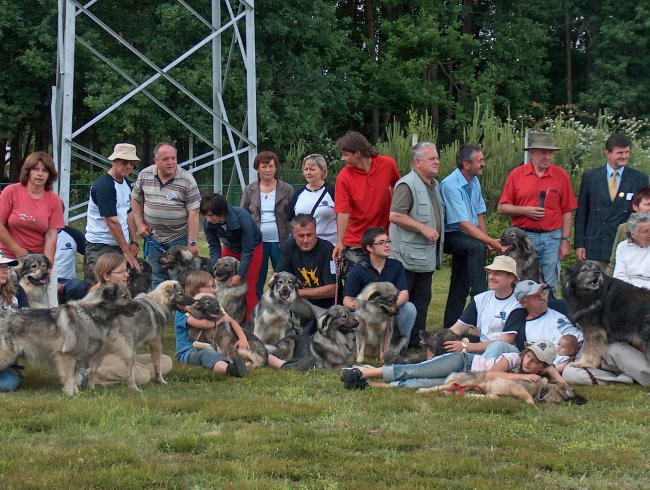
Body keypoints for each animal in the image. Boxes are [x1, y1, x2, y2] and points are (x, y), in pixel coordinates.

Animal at [0, 282, 135, 396]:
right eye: (124, 297)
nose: (138, 306)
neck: (90, 315)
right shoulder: (67, 356)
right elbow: (70, 377)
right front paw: (70, 394)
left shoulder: (77, 359)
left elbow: (75, 378)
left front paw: (76, 394)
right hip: (6, 355)